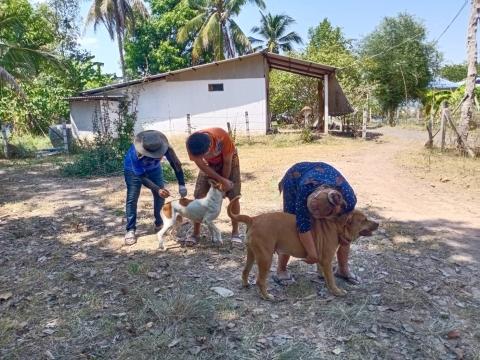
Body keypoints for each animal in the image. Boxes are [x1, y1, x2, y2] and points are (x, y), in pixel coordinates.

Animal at [228, 195, 378, 300]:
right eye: (364, 220)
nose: (378, 223)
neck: (337, 226)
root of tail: (253, 219)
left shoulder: (322, 260)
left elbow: (324, 273)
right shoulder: (327, 260)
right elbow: (331, 279)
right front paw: (336, 291)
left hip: (252, 254)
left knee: (245, 271)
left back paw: (246, 284)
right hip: (265, 258)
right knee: (260, 281)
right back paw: (267, 296)